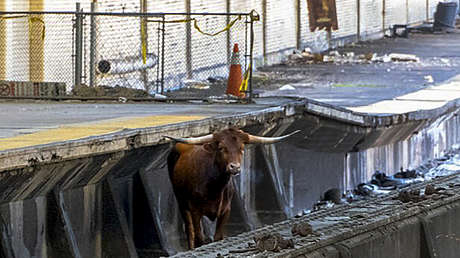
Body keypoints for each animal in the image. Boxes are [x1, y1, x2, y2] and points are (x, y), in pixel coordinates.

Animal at [164, 128, 298, 249]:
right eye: (222, 148)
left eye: (241, 148)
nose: (235, 167)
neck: (214, 187)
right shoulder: (195, 210)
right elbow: (199, 238)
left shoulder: (226, 210)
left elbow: (218, 237)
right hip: (182, 203)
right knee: (190, 231)